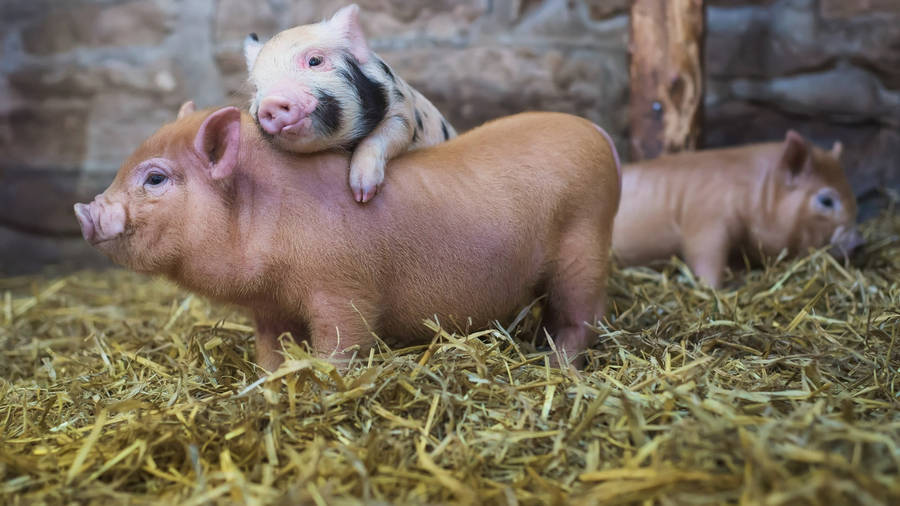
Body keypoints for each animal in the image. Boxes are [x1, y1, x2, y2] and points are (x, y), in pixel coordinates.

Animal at [75, 104, 620, 372]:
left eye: (155, 178)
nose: (85, 210)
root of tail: (599, 134)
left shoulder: (343, 289)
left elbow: (342, 343)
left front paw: (324, 380)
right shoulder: (269, 306)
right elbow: (271, 349)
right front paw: (271, 380)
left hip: (585, 244)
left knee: (583, 316)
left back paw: (555, 366)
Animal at [243, 3, 458, 203]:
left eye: (315, 61)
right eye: (256, 88)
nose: (271, 102)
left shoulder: (403, 110)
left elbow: (386, 135)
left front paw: (362, 196)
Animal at [612, 129, 864, 288]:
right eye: (826, 200)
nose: (860, 242)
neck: (757, 195)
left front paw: (738, 279)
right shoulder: (706, 220)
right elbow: (705, 258)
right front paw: (717, 289)